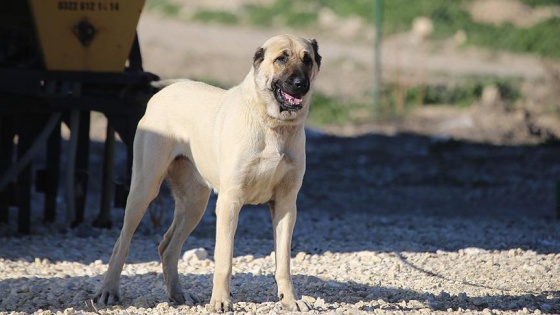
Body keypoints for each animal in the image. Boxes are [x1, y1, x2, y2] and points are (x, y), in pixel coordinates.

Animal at [93, 35, 322, 314]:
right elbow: (224, 260)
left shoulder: (286, 205)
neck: (272, 123)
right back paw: (109, 291)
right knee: (122, 242)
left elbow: (284, 263)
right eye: (281, 58)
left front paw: (289, 299)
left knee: (167, 247)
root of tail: (166, 91)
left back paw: (178, 294)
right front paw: (221, 301)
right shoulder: (229, 202)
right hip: (143, 190)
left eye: (307, 59)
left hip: (195, 203)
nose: (301, 84)